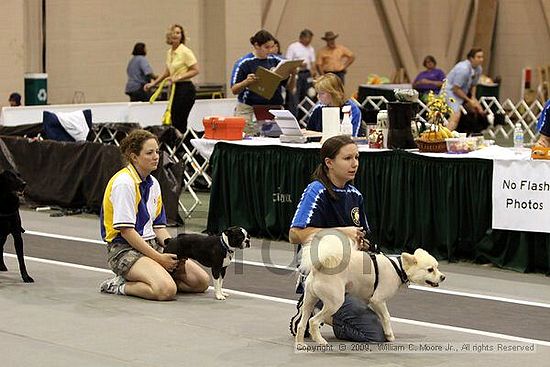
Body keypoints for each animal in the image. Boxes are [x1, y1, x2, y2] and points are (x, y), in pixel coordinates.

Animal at [296, 233, 446, 348]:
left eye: (437, 267)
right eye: (430, 270)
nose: (443, 277)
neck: (399, 267)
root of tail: (319, 267)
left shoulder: (371, 302)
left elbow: (381, 316)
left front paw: (386, 333)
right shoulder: (378, 300)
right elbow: (386, 316)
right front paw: (389, 335)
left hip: (309, 300)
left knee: (302, 324)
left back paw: (300, 344)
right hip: (335, 302)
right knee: (313, 321)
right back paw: (320, 340)